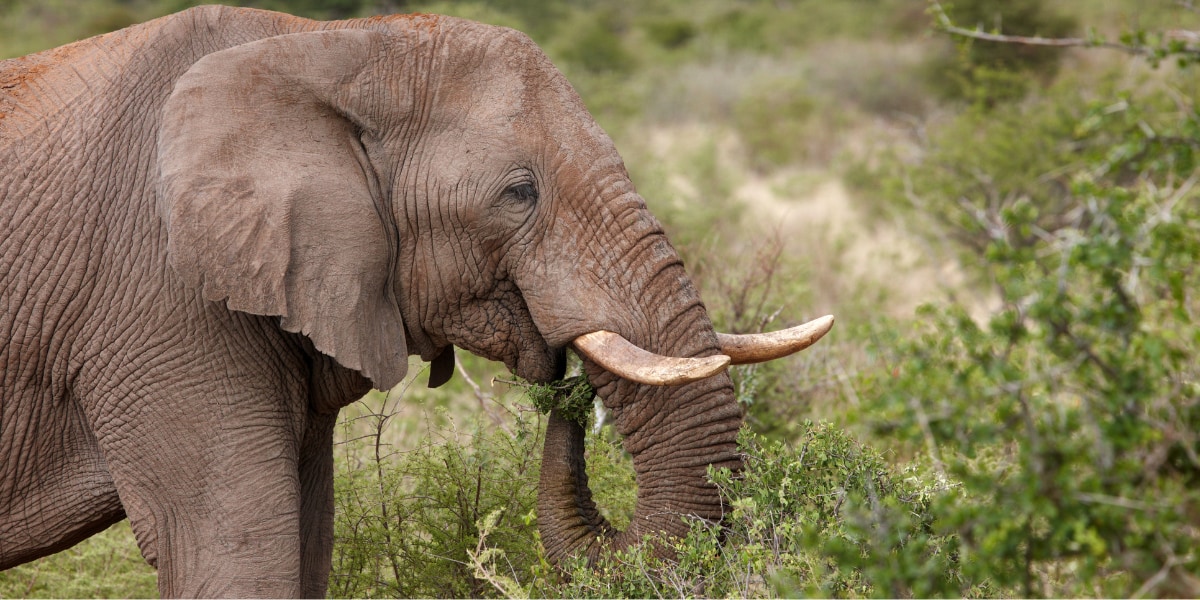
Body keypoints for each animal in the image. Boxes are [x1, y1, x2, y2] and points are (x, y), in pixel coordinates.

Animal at [0, 7, 835, 597]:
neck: (328, 47)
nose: (566, 388)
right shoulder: (159, 298)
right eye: (518, 193)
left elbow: (305, 544)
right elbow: (234, 548)